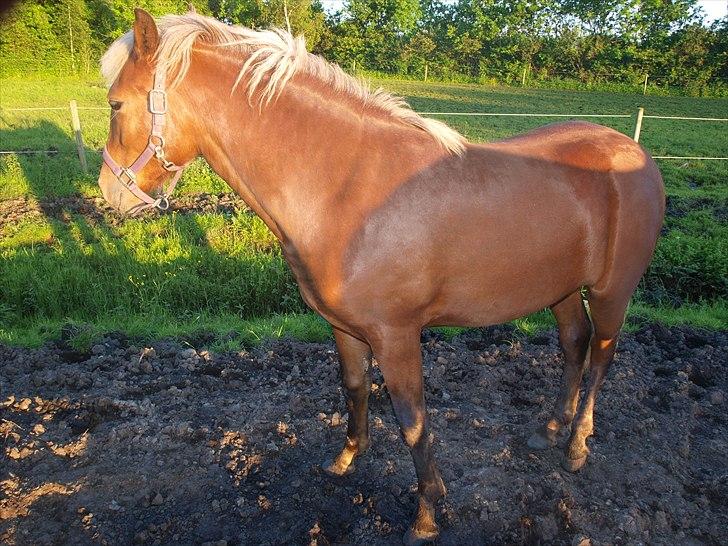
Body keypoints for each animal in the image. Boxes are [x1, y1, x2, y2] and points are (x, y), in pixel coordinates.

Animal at [98, 9, 664, 544]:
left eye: (116, 105)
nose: (111, 194)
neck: (345, 188)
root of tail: (636, 152)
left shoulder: (397, 336)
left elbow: (413, 423)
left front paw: (427, 515)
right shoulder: (344, 327)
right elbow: (354, 389)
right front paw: (348, 459)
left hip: (611, 291)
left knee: (601, 357)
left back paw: (576, 445)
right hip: (561, 290)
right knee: (574, 343)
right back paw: (549, 429)